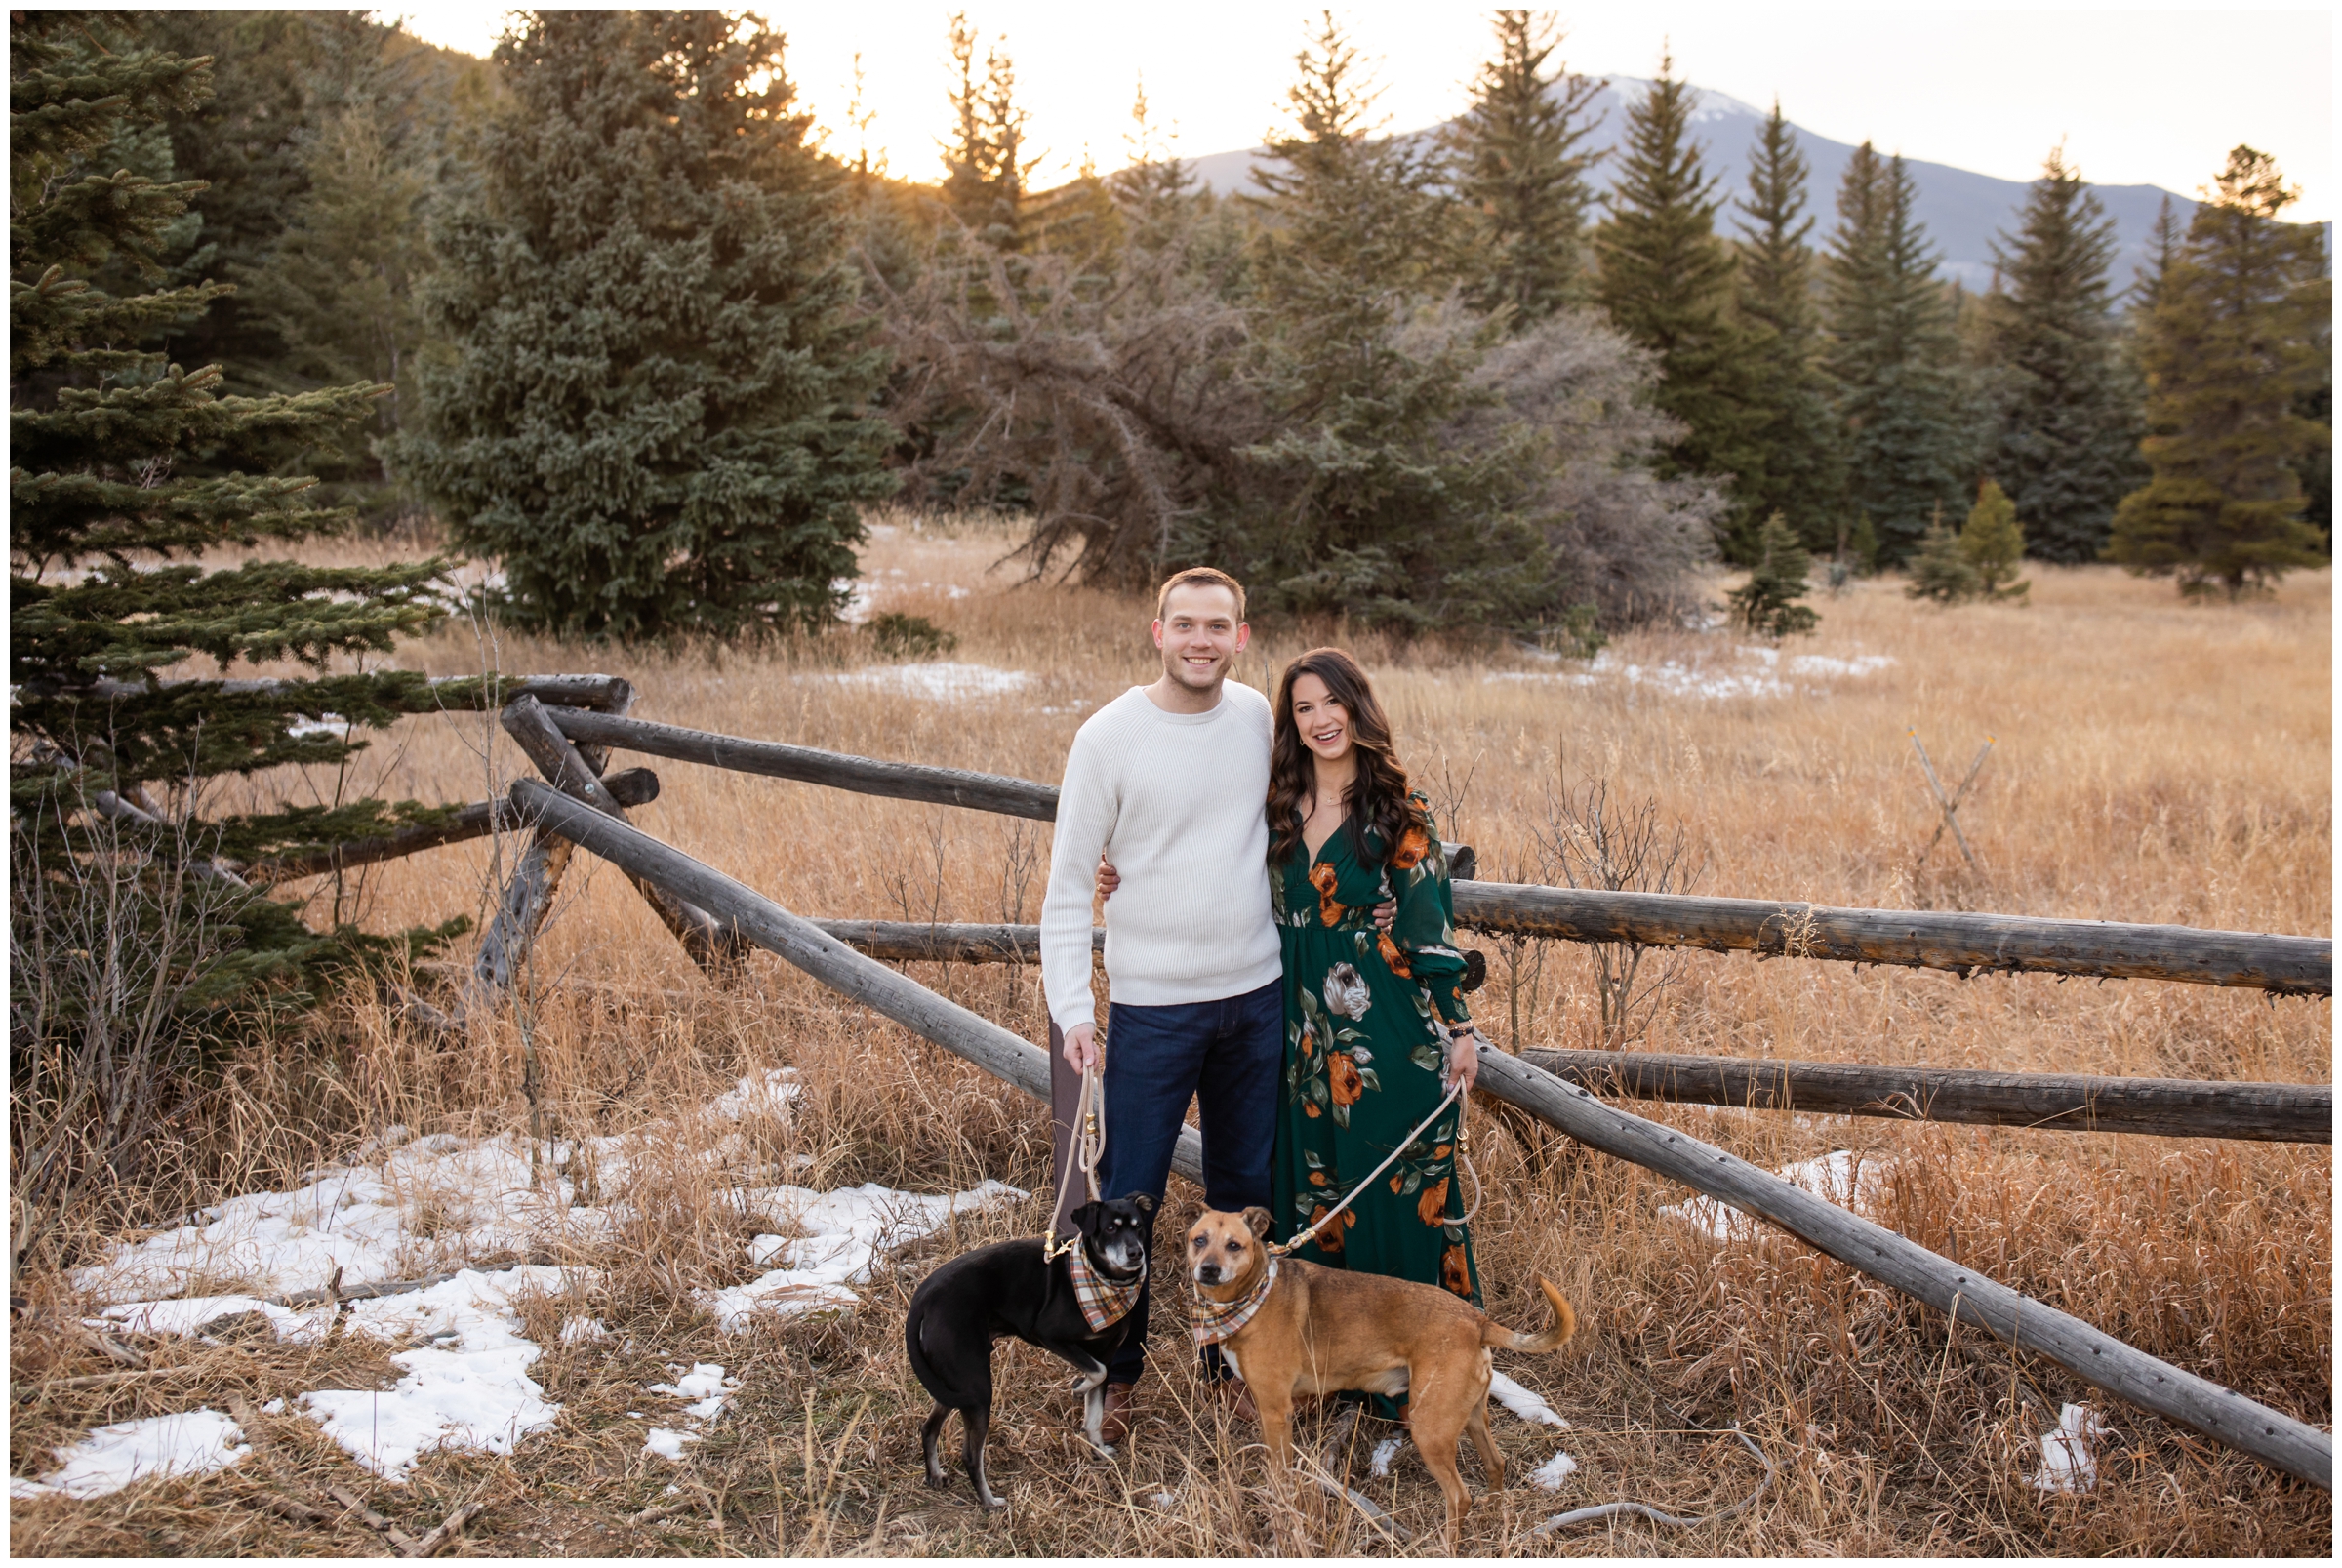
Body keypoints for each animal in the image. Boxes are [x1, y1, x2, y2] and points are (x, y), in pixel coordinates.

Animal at [894, 1198, 1151, 1516]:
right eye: (1110, 1229)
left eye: (1138, 1226)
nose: (1135, 1253)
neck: (1102, 1279)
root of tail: (921, 1299)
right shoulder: (1050, 1334)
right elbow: (1097, 1372)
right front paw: (1079, 1387)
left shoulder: (1106, 1352)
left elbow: (1095, 1414)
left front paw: (1098, 1450)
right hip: (976, 1388)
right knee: (970, 1455)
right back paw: (989, 1502)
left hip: (955, 1384)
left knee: (929, 1428)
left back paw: (935, 1476)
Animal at [1190, 1207, 1573, 1553]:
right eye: (1200, 1240)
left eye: (1234, 1245)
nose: (1208, 1269)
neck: (1252, 1294)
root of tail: (1477, 1322)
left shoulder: (1274, 1412)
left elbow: (1280, 1475)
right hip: (1471, 1416)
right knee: (1496, 1464)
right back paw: (1493, 1513)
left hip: (1430, 1429)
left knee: (1459, 1496)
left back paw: (1446, 1546)